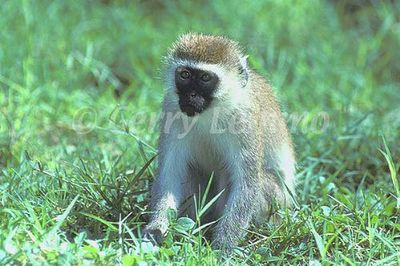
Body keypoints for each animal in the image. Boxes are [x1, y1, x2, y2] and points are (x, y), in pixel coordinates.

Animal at [142, 33, 296, 251]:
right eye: (185, 75)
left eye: (205, 78)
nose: (190, 96)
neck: (211, 112)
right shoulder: (171, 110)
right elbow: (170, 174)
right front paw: (156, 229)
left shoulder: (245, 122)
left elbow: (247, 184)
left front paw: (221, 247)